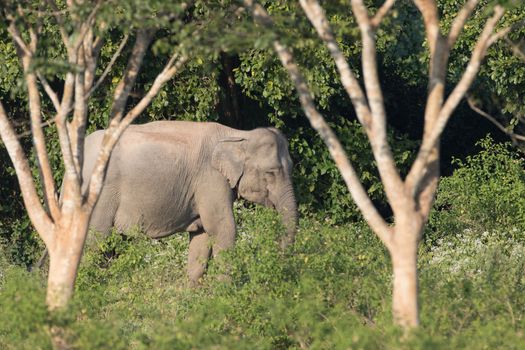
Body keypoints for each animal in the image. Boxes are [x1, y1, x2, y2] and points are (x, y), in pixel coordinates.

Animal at [80, 120, 296, 284]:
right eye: (271, 172)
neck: (238, 134)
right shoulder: (210, 179)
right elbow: (222, 228)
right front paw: (226, 291)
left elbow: (202, 235)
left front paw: (193, 295)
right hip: (99, 195)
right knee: (96, 241)